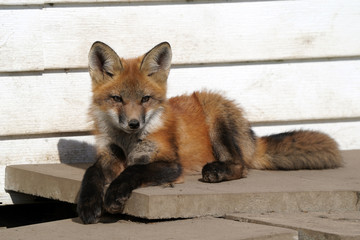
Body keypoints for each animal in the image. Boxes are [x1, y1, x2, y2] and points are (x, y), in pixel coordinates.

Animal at [78, 40, 344, 223]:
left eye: (145, 99)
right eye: (117, 99)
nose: (134, 124)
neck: (128, 142)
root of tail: (251, 139)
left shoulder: (171, 163)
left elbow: (133, 170)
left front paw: (114, 195)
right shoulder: (108, 155)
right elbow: (91, 173)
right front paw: (88, 204)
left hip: (215, 116)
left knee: (241, 166)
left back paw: (217, 171)